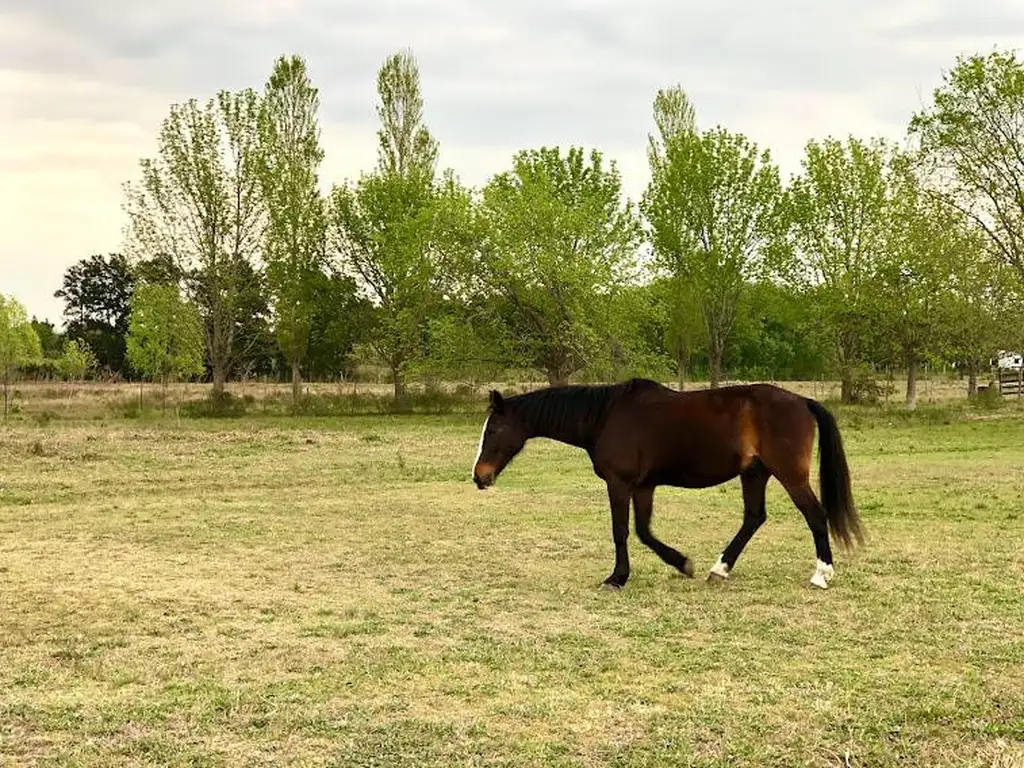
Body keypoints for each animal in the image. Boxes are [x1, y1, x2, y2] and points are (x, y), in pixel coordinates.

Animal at [471, 378, 864, 589]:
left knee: (815, 515)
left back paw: (821, 574)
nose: (479, 476)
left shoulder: (620, 483)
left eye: (494, 431)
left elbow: (621, 530)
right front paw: (682, 563)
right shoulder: (644, 486)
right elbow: (644, 531)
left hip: (789, 474)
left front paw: (617, 578)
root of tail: (803, 401)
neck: (605, 417)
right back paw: (719, 569)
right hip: (754, 473)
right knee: (754, 518)